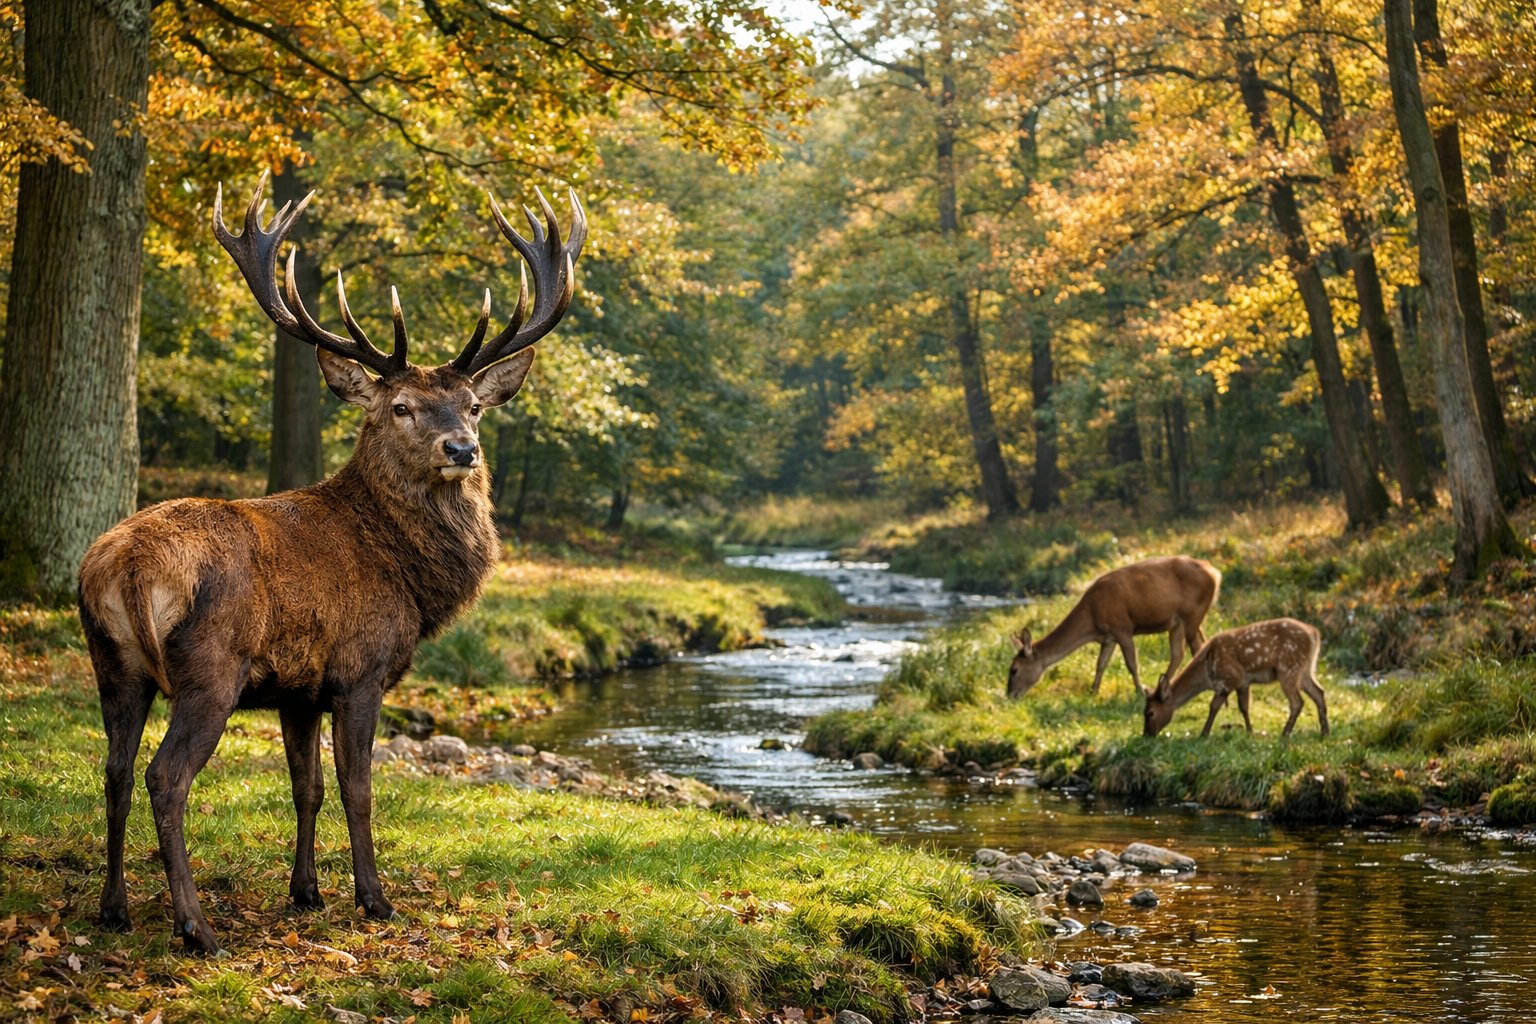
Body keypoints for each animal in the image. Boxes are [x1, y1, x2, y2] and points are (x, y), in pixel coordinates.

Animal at [76, 172, 585, 954]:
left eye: (473, 405)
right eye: (401, 407)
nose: (462, 449)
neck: (409, 579)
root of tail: (124, 567)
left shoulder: (298, 688)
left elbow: (305, 787)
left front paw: (306, 892)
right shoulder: (359, 669)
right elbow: (358, 787)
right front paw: (374, 898)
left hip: (113, 664)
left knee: (115, 770)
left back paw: (115, 908)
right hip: (209, 669)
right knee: (167, 777)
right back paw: (195, 926)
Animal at [1007, 556, 1221, 699]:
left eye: (1014, 669)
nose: (1010, 694)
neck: (1092, 617)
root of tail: (1215, 573)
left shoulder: (1123, 627)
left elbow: (1131, 663)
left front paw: (1139, 690)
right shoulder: (1108, 637)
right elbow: (1100, 664)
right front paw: (1093, 691)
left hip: (1193, 613)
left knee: (1197, 647)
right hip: (1177, 622)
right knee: (1179, 653)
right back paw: (1163, 687)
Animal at [1141, 617, 1328, 738]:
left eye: (1150, 712)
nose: (1146, 735)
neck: (1207, 675)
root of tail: (1315, 634)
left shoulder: (1231, 678)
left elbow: (1214, 706)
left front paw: (1204, 733)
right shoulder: (1243, 682)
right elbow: (1243, 707)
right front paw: (1250, 731)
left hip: (1288, 667)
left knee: (1297, 702)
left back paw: (1285, 734)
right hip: (1306, 669)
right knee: (1319, 692)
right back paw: (1325, 732)